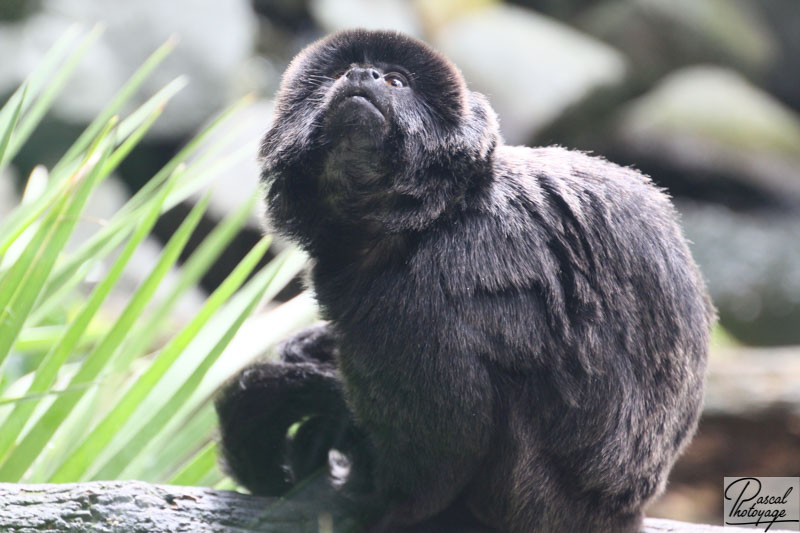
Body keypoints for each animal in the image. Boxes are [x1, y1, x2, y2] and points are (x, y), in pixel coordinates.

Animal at [214, 30, 712, 532]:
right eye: (341, 73)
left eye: (394, 81)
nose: (362, 75)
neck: (433, 216)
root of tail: (621, 510)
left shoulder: (419, 295)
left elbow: (448, 451)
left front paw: (366, 499)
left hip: (532, 496)